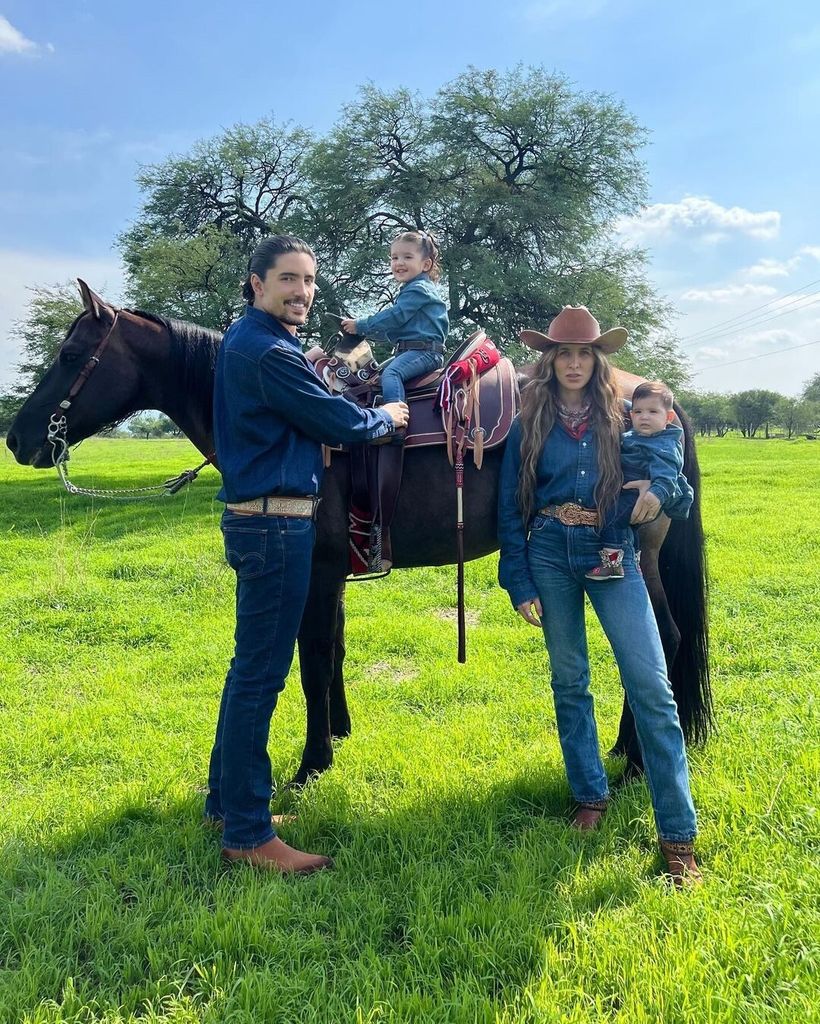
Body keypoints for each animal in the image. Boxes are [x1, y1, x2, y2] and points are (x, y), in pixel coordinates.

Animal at [6, 284, 708, 778]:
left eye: (71, 355)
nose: (18, 438)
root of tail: (652, 395)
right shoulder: (335, 571)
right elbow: (336, 651)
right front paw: (339, 732)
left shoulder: (315, 572)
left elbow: (313, 660)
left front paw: (312, 762)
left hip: (629, 557)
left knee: (663, 637)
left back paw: (637, 758)